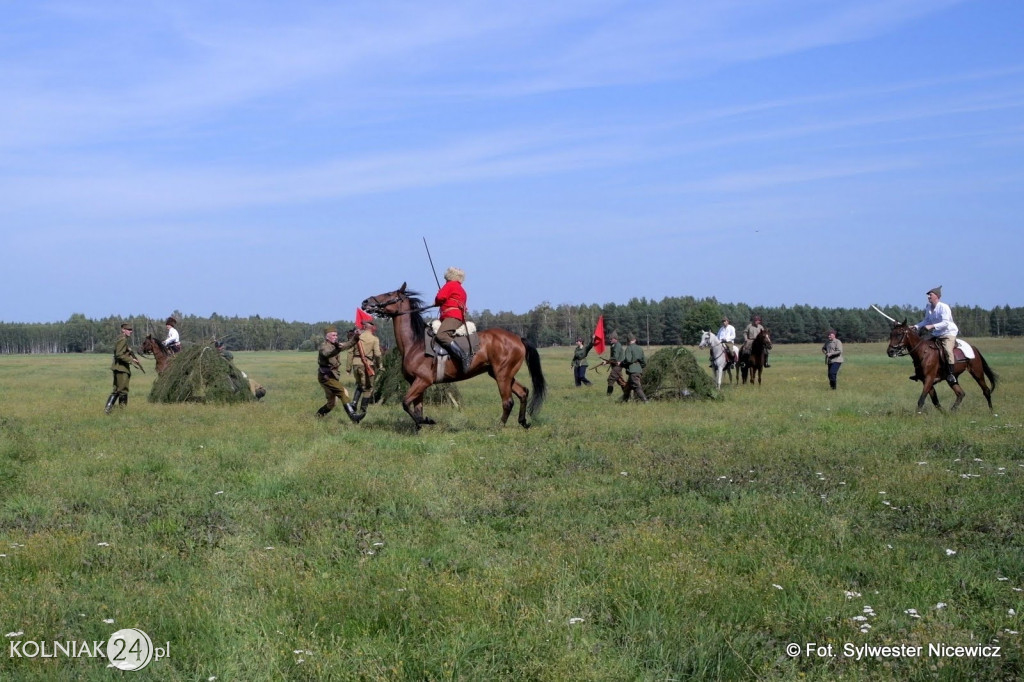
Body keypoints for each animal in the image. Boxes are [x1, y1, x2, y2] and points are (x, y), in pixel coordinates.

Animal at [364, 282, 548, 430]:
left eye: (389, 294)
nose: (365, 302)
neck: (415, 344)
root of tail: (518, 338)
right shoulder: (415, 383)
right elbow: (416, 407)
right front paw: (419, 426)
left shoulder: (422, 381)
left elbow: (405, 403)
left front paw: (427, 421)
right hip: (501, 374)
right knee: (523, 392)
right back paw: (523, 422)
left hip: (502, 375)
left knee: (508, 401)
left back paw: (499, 427)